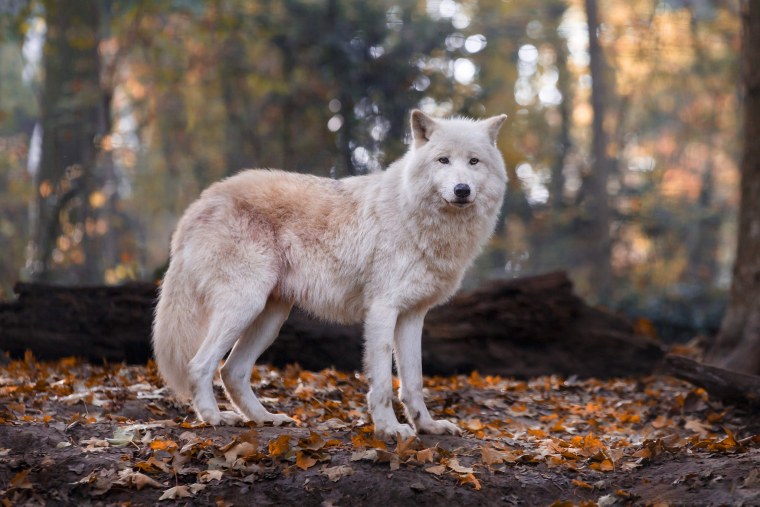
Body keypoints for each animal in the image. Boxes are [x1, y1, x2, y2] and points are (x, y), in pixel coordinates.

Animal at [152, 110, 507, 439]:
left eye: (473, 161)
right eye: (443, 160)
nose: (461, 189)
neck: (414, 215)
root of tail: (199, 203)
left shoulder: (412, 315)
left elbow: (414, 382)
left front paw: (427, 426)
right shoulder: (382, 310)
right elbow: (383, 383)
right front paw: (389, 429)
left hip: (270, 318)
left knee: (232, 371)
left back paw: (266, 418)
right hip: (244, 306)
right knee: (199, 365)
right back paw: (215, 418)